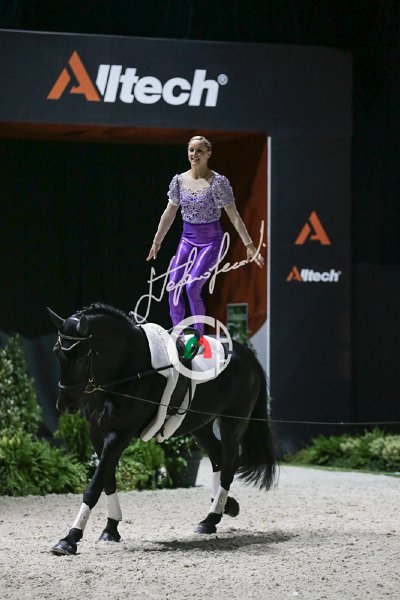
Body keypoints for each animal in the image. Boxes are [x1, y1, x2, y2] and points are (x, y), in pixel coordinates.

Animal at [48, 303, 277, 555]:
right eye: (57, 352)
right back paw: (219, 512)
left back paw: (213, 516)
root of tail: (246, 354)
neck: (128, 367)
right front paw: (111, 529)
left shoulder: (120, 434)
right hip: (200, 425)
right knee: (218, 457)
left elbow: (95, 485)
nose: (65, 405)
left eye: (80, 356)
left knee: (228, 463)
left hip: (232, 423)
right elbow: (108, 479)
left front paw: (69, 539)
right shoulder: (97, 433)